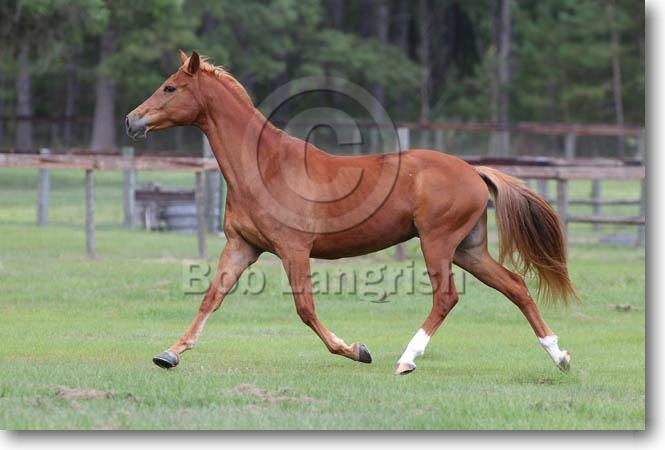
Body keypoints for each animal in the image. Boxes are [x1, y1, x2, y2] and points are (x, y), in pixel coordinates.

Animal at [126, 50, 577, 375]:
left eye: (169, 88)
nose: (131, 120)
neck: (265, 167)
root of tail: (473, 171)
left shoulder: (293, 249)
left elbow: (305, 310)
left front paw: (357, 349)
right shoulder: (243, 246)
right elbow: (211, 297)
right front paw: (170, 353)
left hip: (438, 243)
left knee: (446, 297)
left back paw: (406, 360)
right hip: (469, 250)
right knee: (516, 286)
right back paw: (559, 356)